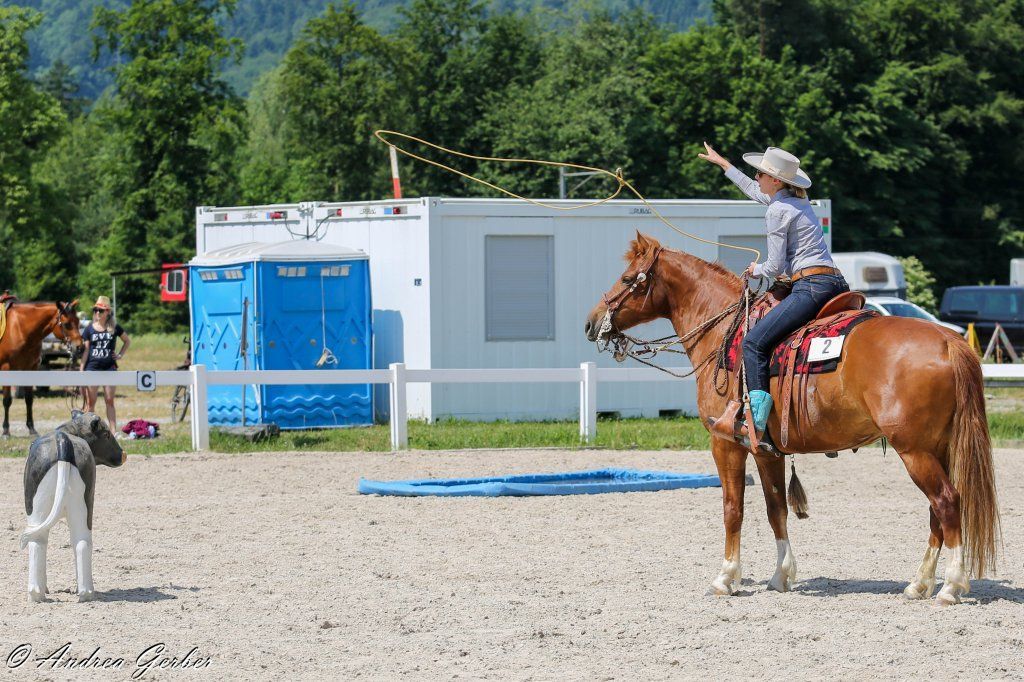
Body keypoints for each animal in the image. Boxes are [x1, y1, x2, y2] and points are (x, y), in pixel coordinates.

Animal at [0, 300, 84, 438]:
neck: (20, 329)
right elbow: (7, 400)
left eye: (78, 321)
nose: (80, 347)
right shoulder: (7, 368)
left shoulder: (30, 368)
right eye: (67, 324)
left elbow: (29, 399)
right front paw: (6, 431)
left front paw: (31, 429)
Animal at [584, 232, 999, 606]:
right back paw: (919, 584)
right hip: (937, 447)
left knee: (947, 502)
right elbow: (776, 509)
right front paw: (781, 575)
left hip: (914, 450)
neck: (724, 333)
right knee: (936, 512)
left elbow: (733, 509)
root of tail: (950, 341)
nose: (591, 323)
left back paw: (950, 587)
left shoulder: (725, 443)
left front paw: (725, 578)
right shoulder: (766, 450)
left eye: (627, 279)